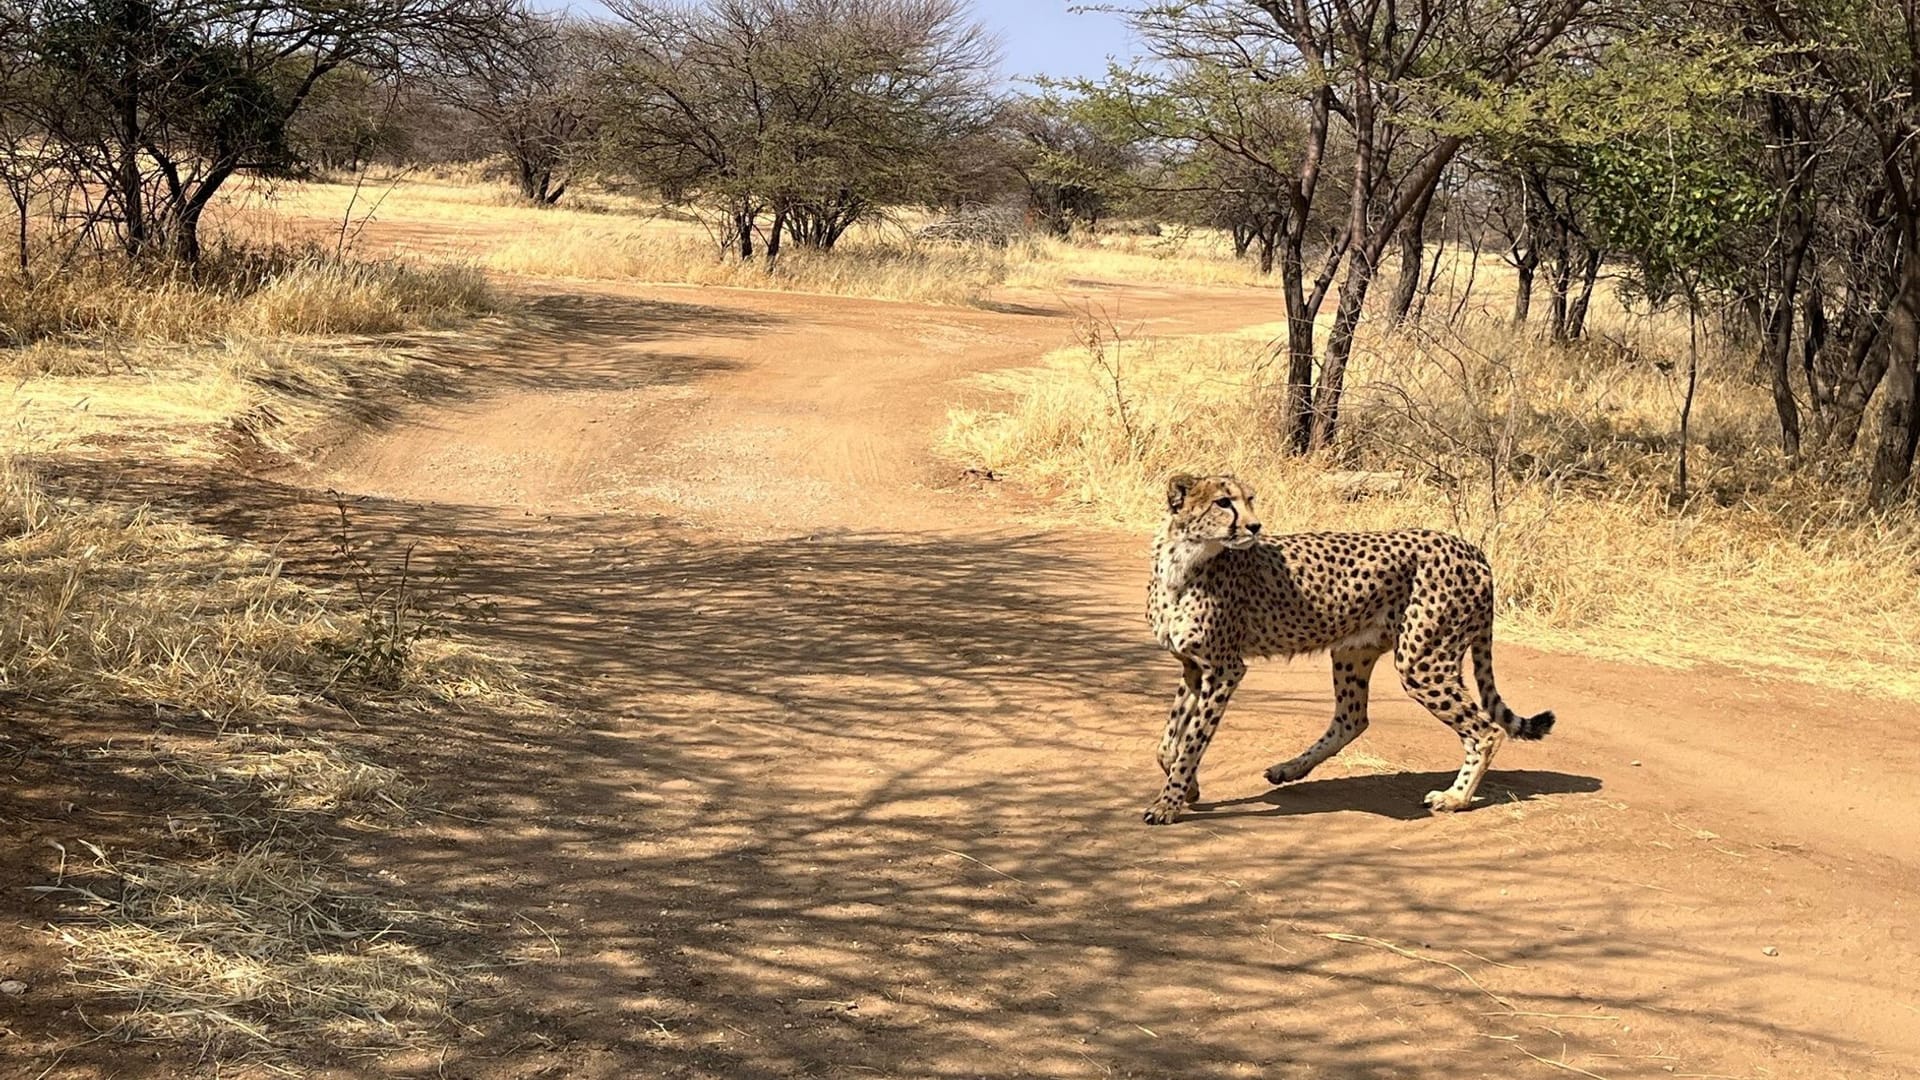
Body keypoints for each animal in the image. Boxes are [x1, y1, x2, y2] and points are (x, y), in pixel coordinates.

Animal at [1144, 470, 1551, 822]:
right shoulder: (1193, 666)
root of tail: (1467, 546)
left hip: (1422, 662)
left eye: (1249, 500)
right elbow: (1169, 741)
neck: (1183, 561)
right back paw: (1289, 768)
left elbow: (1193, 739)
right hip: (1354, 652)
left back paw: (1455, 797)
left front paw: (1168, 804)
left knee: (1486, 730)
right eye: (1224, 502)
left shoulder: (1225, 669)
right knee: (1352, 717)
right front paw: (1188, 787)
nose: (1254, 527)